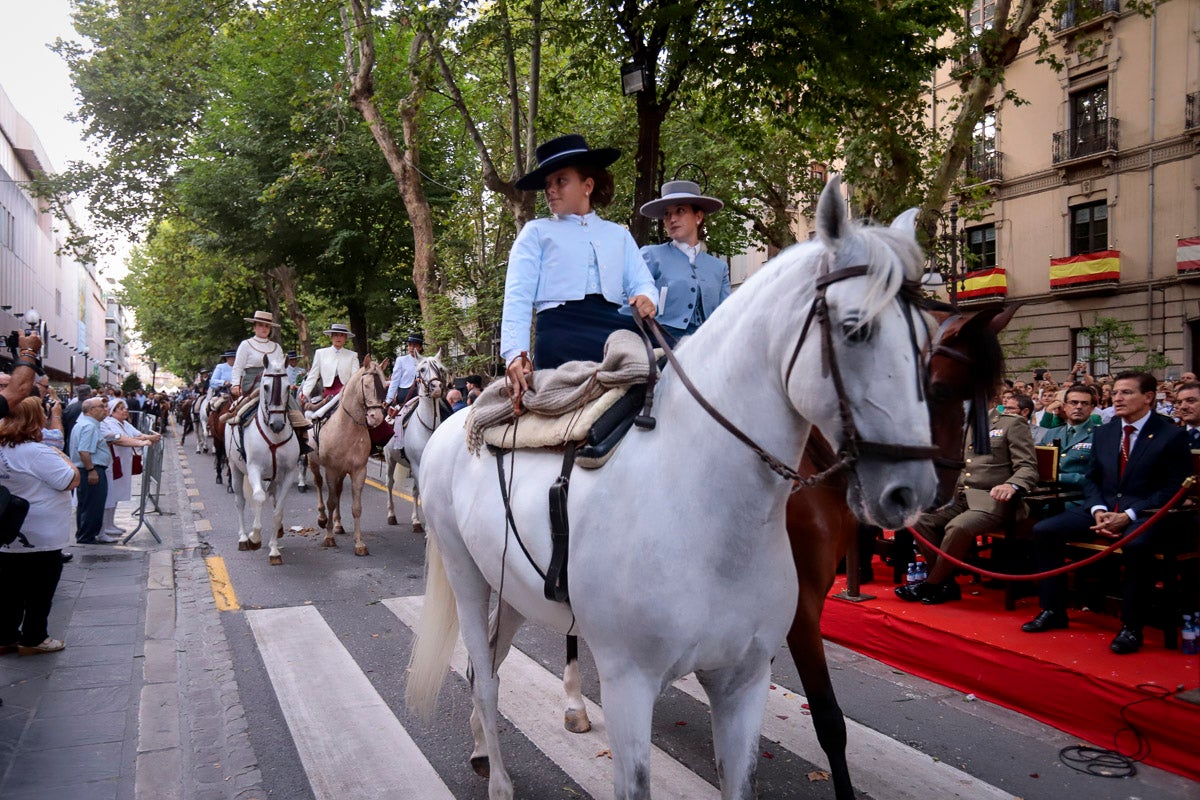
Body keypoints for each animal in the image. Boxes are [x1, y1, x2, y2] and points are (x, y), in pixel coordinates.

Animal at [225, 352, 300, 566]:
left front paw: (274, 550)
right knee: (240, 501)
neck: (273, 436)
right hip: (235, 469)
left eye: (287, 387)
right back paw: (243, 538)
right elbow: (258, 498)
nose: (277, 424)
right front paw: (254, 538)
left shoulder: (288, 474)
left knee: (272, 498)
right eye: (265, 386)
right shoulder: (254, 469)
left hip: (273, 478)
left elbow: (278, 511)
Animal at [307, 357, 386, 556]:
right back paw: (322, 518)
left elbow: (356, 508)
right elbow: (331, 501)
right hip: (313, 462)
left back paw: (338, 524)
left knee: (338, 491)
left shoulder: (358, 471)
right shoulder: (331, 470)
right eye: (366, 385)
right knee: (319, 485)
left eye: (384, 385)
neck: (348, 427)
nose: (376, 417)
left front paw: (359, 543)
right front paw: (328, 537)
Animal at [388, 352, 451, 532]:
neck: (429, 426)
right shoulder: (416, 465)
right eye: (422, 369)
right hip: (390, 458)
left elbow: (420, 492)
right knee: (389, 483)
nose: (436, 388)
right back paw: (391, 515)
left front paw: (417, 521)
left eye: (441, 369)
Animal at [408, 179, 940, 800]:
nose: (911, 492)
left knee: (484, 664)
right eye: (856, 328)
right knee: (485, 676)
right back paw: (499, 781)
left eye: (928, 341)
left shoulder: (743, 684)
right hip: (466, 575)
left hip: (512, 587)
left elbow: (743, 778)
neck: (709, 507)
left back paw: (480, 751)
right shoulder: (628, 686)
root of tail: (456, 420)